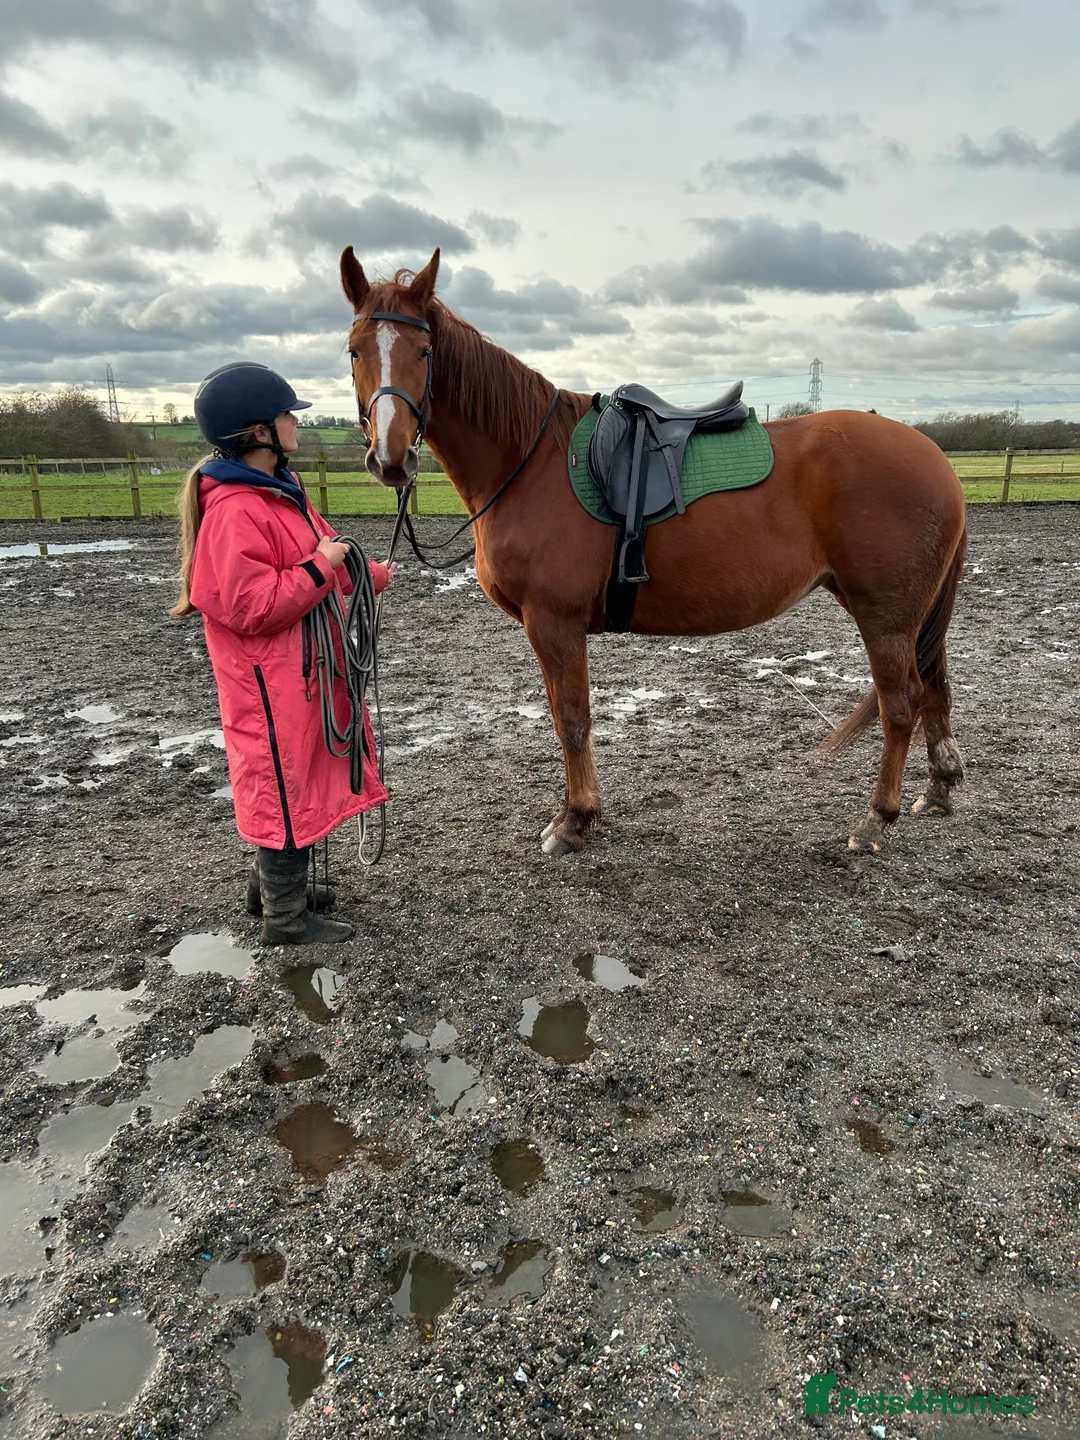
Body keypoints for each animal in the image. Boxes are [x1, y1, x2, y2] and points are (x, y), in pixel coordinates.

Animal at [340, 245, 967, 858]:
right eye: (353, 351)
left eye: (424, 352)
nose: (390, 459)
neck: (529, 460)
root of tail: (936, 459)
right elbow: (567, 717)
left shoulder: (553, 621)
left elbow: (572, 720)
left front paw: (575, 820)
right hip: (902, 615)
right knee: (933, 686)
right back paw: (939, 787)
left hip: (884, 615)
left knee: (902, 704)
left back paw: (876, 817)